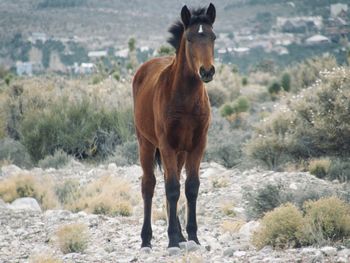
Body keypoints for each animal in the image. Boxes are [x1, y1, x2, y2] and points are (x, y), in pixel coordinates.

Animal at [133, 3, 216, 250]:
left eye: (213, 37)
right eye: (189, 38)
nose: (207, 71)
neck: (185, 99)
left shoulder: (197, 146)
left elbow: (190, 187)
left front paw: (192, 236)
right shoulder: (166, 145)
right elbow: (171, 188)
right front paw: (171, 240)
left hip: (180, 153)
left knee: (173, 180)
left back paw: (180, 235)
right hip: (146, 144)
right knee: (149, 185)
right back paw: (146, 239)